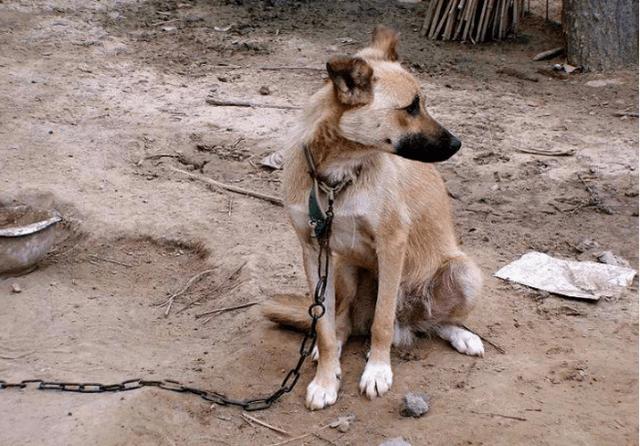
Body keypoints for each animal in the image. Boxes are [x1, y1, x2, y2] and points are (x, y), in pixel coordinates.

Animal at [262, 25, 482, 412]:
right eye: (411, 107)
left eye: (422, 102)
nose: (457, 144)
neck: (338, 176)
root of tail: (408, 323)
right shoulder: (313, 250)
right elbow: (325, 328)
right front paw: (325, 381)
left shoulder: (392, 244)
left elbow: (381, 322)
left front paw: (377, 370)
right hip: (345, 271)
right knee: (343, 322)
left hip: (464, 274)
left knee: (432, 321)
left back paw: (462, 336)